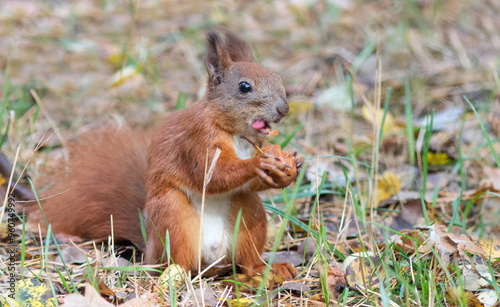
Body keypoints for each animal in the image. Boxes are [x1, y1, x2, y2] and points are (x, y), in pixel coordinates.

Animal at [28, 31, 304, 280]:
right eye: (244, 87)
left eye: (277, 78)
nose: (283, 109)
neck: (235, 133)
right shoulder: (196, 141)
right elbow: (211, 176)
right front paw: (259, 162)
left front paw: (289, 169)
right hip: (173, 217)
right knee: (178, 262)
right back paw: (175, 275)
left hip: (247, 212)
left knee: (247, 261)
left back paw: (266, 270)